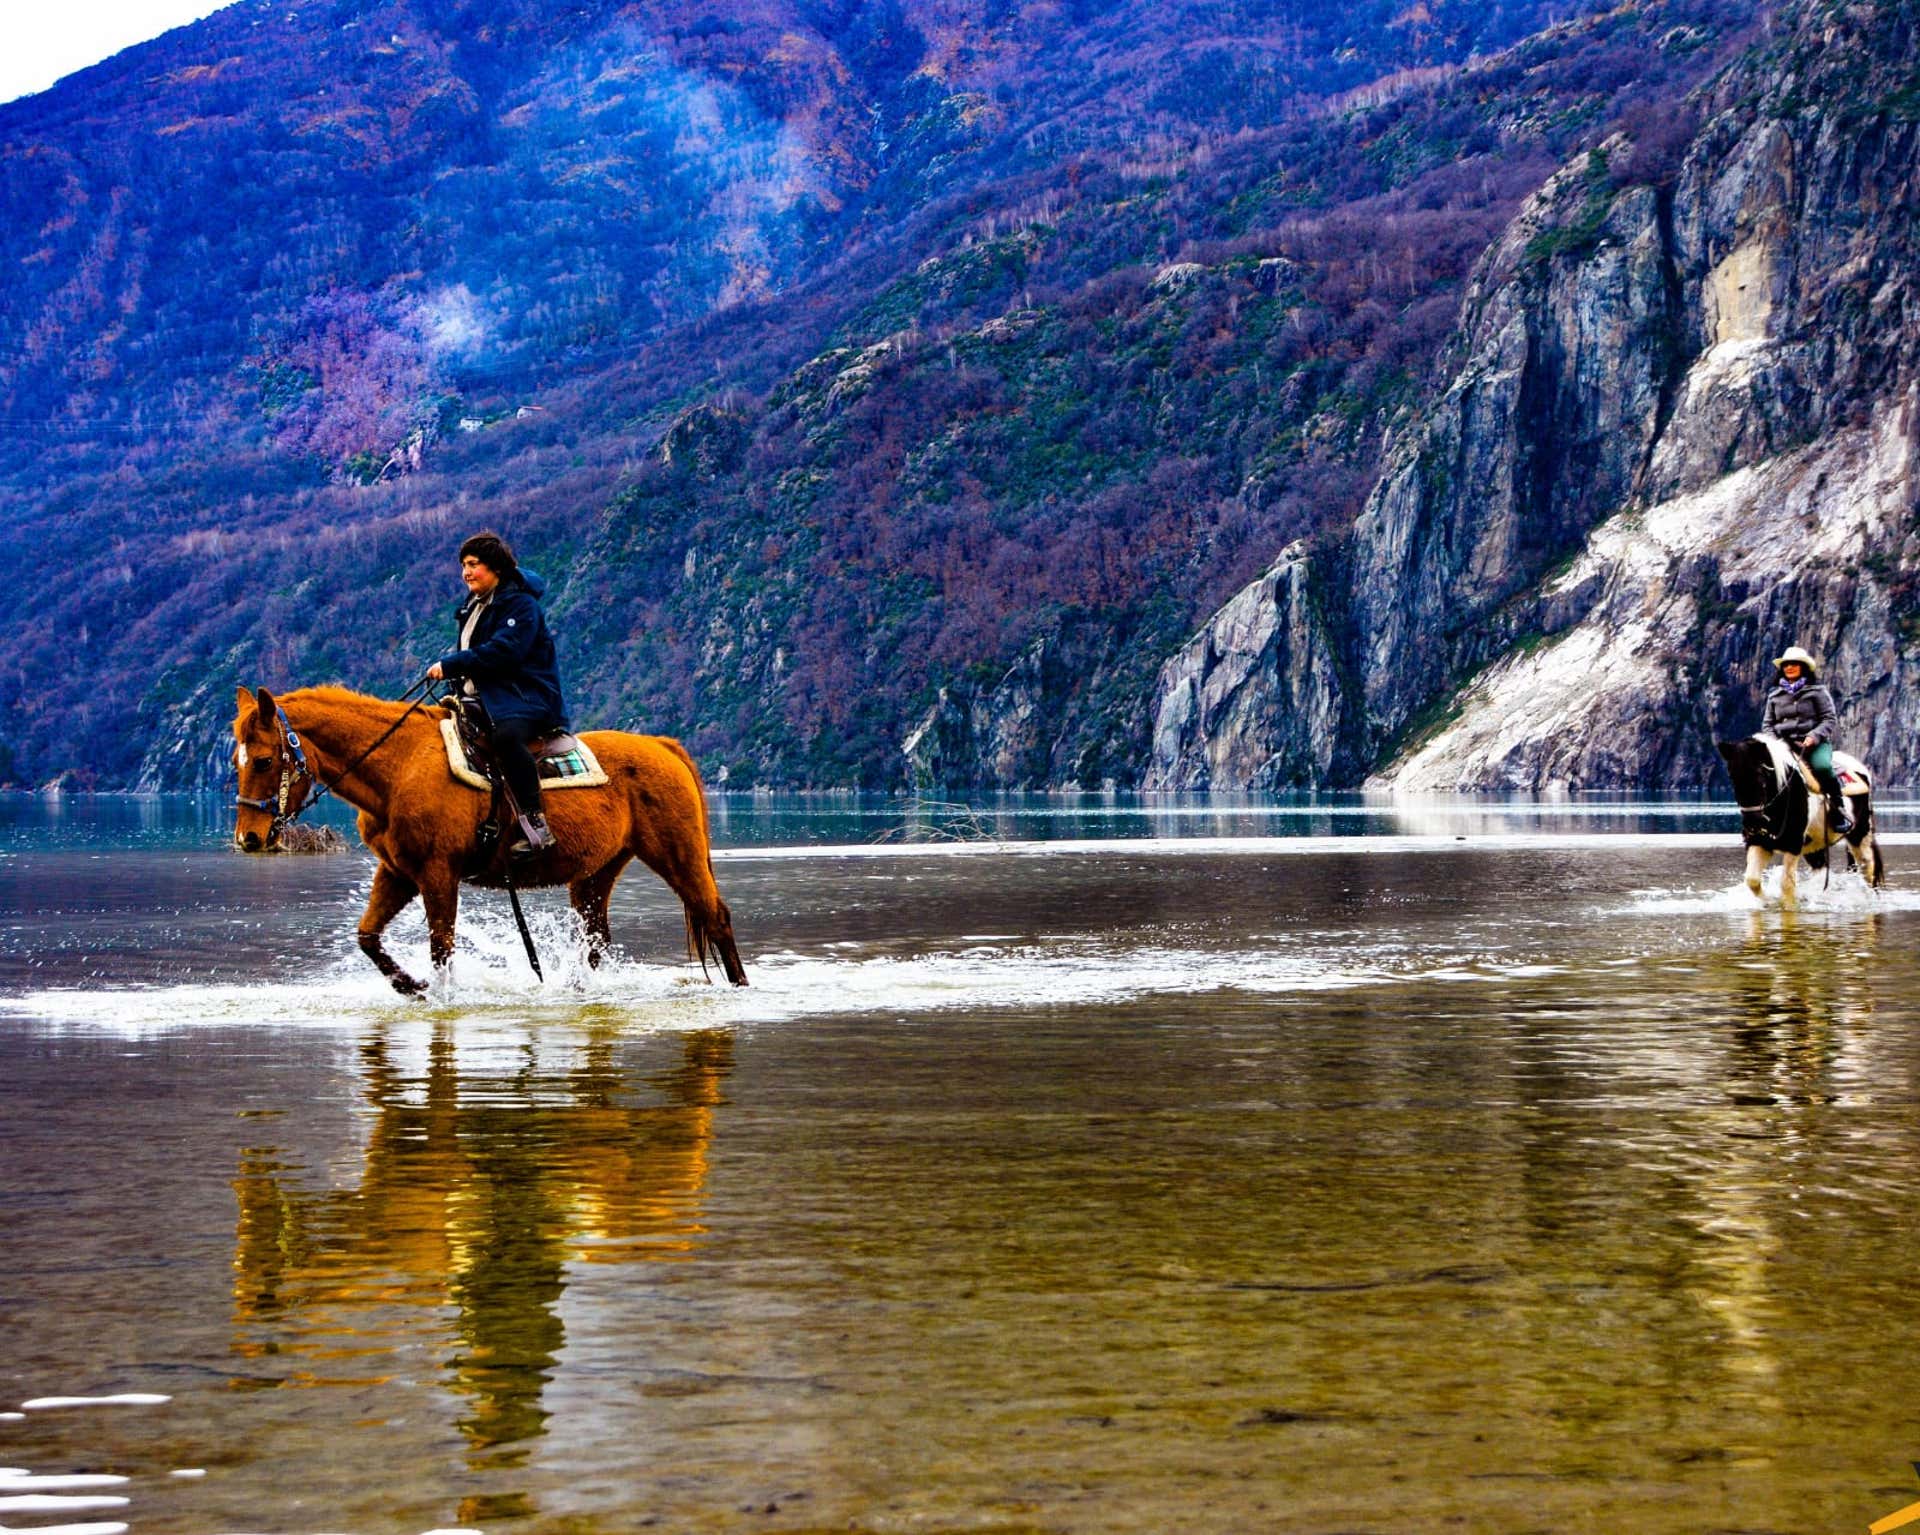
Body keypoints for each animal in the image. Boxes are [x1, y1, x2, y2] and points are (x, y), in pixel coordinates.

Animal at [232, 685, 747, 994]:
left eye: (263, 760)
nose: (248, 838)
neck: (399, 766)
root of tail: (662, 746)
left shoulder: (438, 874)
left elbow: (441, 947)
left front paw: (441, 994)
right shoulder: (398, 873)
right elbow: (368, 937)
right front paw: (410, 986)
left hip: (678, 855)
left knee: (716, 917)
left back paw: (740, 985)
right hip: (597, 872)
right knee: (596, 939)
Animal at [1716, 733, 1884, 905]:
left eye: (1760, 773)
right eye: (1731, 775)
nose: (1753, 822)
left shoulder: (1793, 844)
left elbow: (1787, 885)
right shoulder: (1759, 842)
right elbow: (1752, 880)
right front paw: (1768, 901)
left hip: (1860, 837)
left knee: (1868, 869)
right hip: (1815, 847)